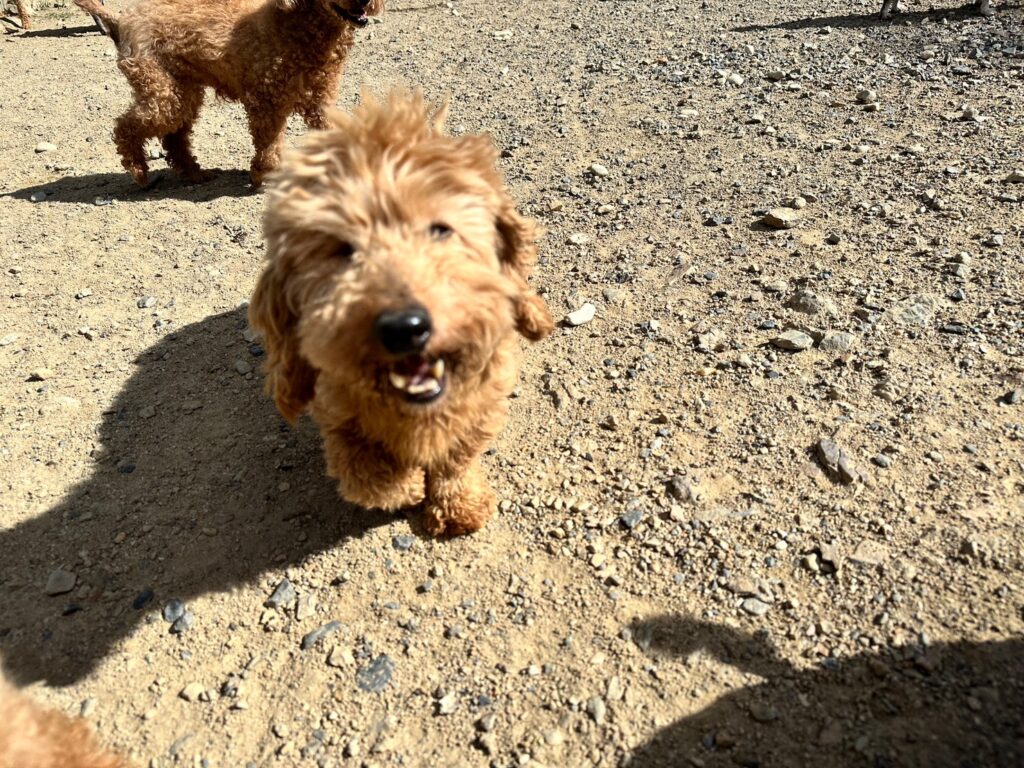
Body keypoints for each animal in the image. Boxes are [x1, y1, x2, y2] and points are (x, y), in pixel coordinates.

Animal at [73, 0, 383, 187]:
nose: (363, 1)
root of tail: (121, 20)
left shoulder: (321, 100)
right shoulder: (266, 100)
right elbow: (269, 144)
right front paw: (262, 175)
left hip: (183, 90)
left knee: (175, 138)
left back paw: (195, 173)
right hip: (163, 92)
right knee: (126, 127)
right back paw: (138, 171)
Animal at [249, 91, 554, 536]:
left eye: (441, 229)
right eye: (342, 250)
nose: (404, 327)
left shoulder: (480, 408)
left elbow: (457, 459)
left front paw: (459, 506)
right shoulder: (337, 418)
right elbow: (368, 475)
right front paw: (406, 487)